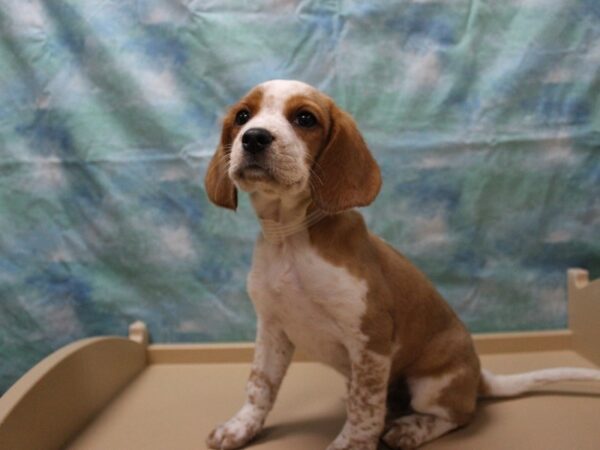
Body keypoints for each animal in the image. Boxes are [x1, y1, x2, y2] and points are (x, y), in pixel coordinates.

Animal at [203, 81, 600, 450]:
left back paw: (411, 428)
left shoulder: (371, 340)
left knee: (459, 414)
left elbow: (364, 410)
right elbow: (260, 386)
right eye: (242, 116)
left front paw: (351, 444)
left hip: (430, 384)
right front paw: (241, 427)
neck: (290, 236)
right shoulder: (272, 329)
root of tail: (477, 377)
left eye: (305, 118)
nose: (254, 137)